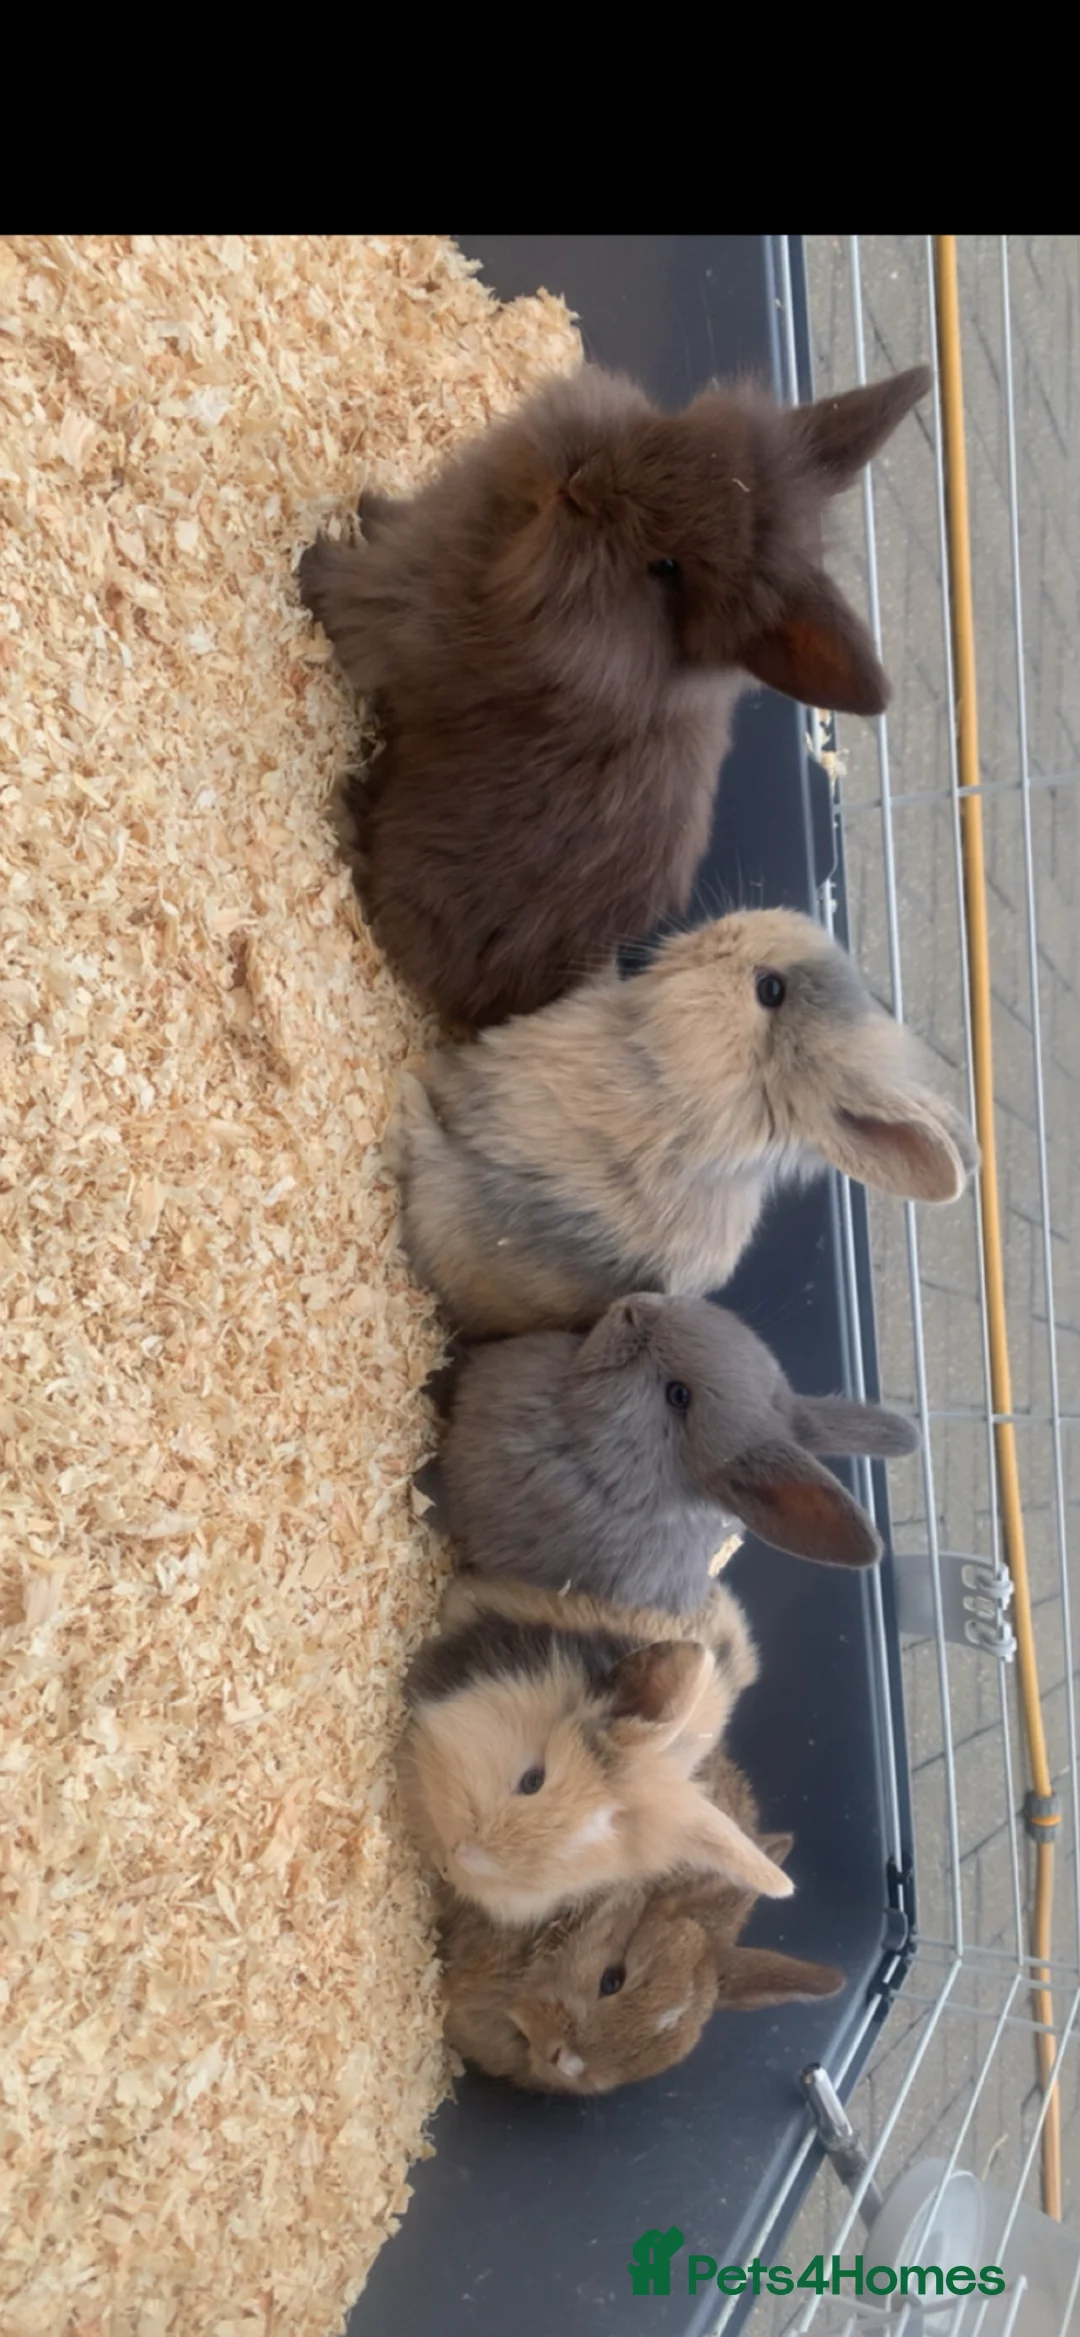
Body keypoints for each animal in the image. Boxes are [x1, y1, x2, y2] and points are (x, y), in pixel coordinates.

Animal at [297, 360, 931, 1029]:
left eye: (668, 567)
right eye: (683, 430)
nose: (583, 481)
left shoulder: (406, 604)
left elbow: (352, 595)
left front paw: (310, 559)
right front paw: (366, 506)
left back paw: (348, 805)